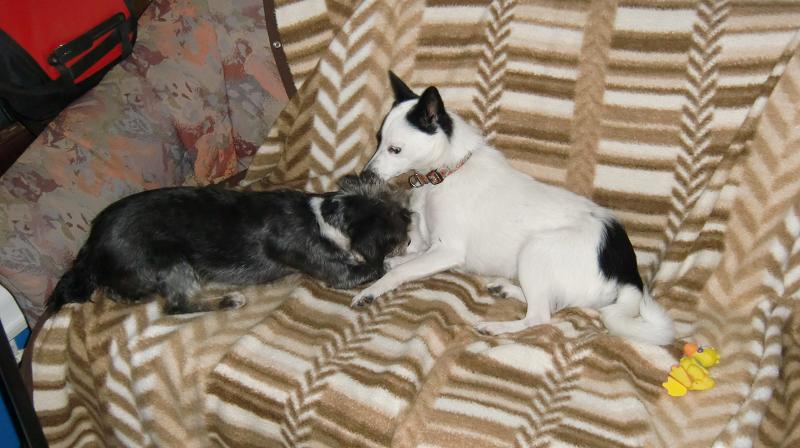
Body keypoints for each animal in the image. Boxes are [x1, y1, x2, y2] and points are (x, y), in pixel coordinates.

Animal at [48, 173, 411, 314]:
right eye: (398, 233)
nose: (411, 219)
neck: (325, 216)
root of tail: (92, 244)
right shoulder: (336, 272)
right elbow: (375, 268)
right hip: (170, 259)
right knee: (176, 306)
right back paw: (227, 300)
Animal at [352, 72, 675, 345]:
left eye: (395, 149)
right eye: (378, 140)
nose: (365, 175)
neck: (446, 173)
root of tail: (627, 271)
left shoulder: (447, 250)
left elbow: (401, 271)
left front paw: (372, 290)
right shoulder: (425, 241)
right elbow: (404, 258)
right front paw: (393, 261)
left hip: (536, 250)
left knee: (540, 316)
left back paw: (497, 327)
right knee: (551, 303)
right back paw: (506, 289)